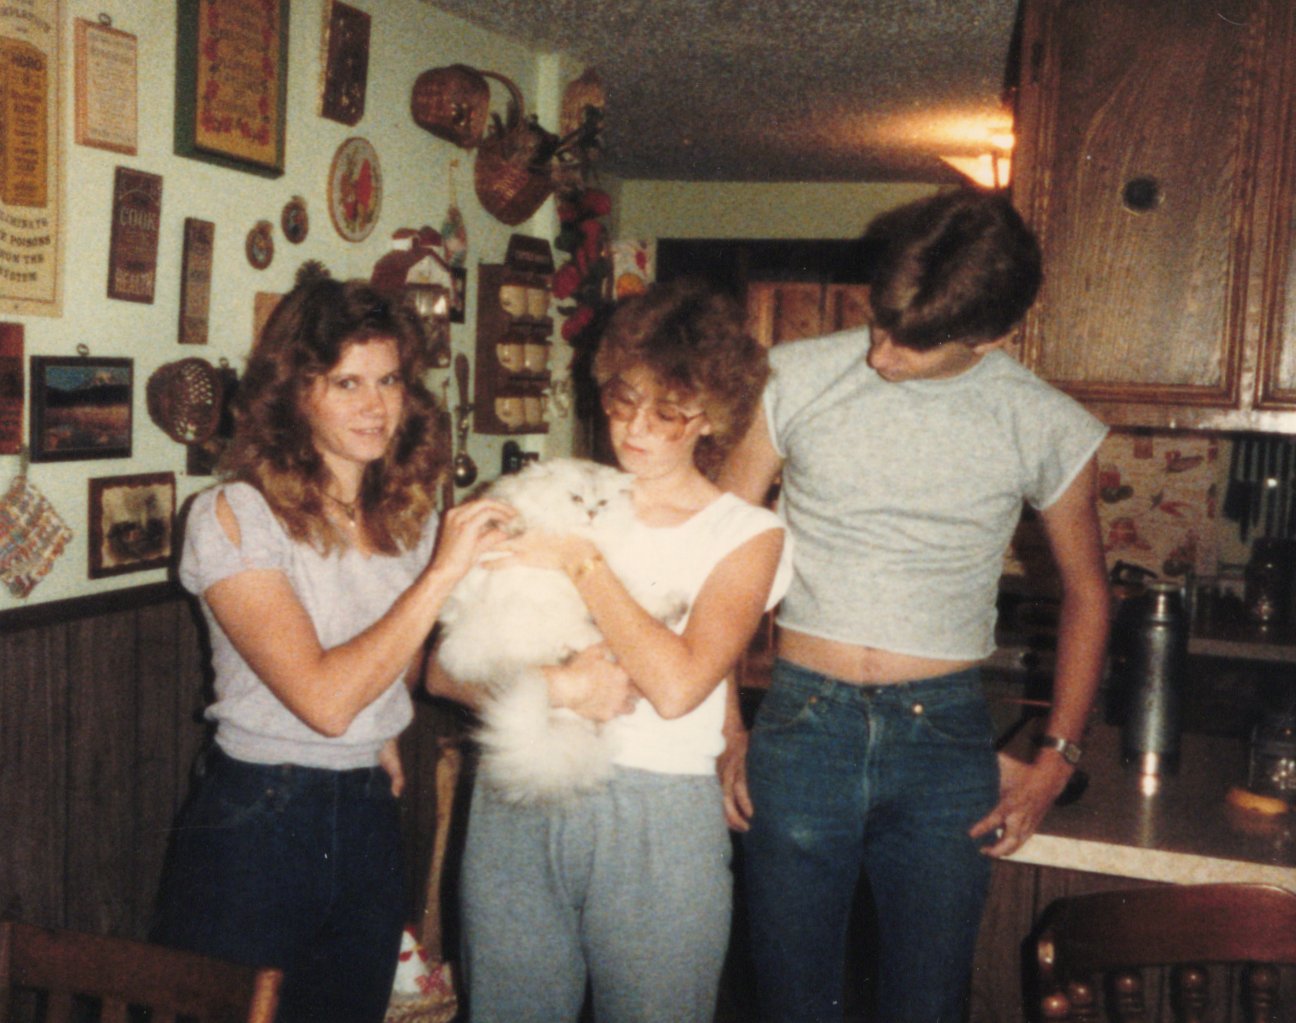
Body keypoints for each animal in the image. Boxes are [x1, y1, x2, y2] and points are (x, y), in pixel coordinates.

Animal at [436, 457, 687, 804]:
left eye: (603, 503)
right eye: (577, 498)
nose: (592, 514)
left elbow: (634, 592)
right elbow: (509, 514)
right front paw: (516, 525)